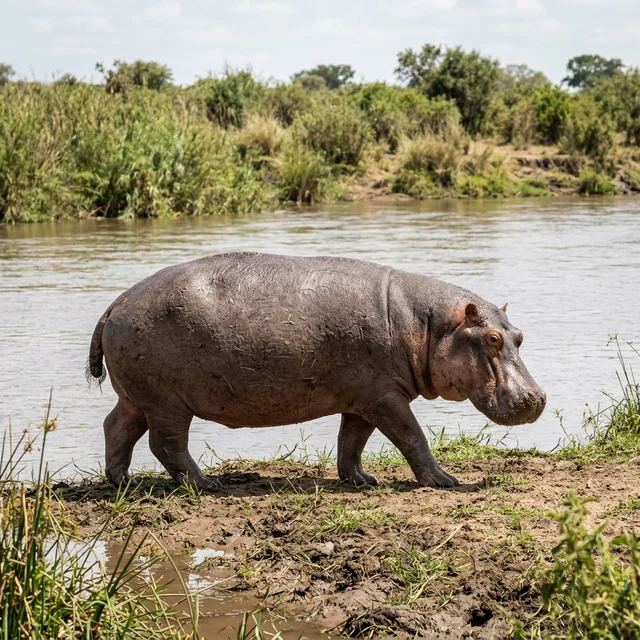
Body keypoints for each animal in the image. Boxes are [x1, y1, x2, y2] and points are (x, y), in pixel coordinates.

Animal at [87, 252, 545, 491]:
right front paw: (444, 480)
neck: (428, 326)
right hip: (167, 402)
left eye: (519, 335)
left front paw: (362, 479)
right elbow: (412, 437)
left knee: (117, 426)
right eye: (492, 339)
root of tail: (115, 303)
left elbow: (352, 442)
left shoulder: (363, 398)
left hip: (138, 396)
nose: (538, 398)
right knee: (166, 445)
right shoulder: (386, 397)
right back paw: (207, 485)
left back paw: (121, 482)